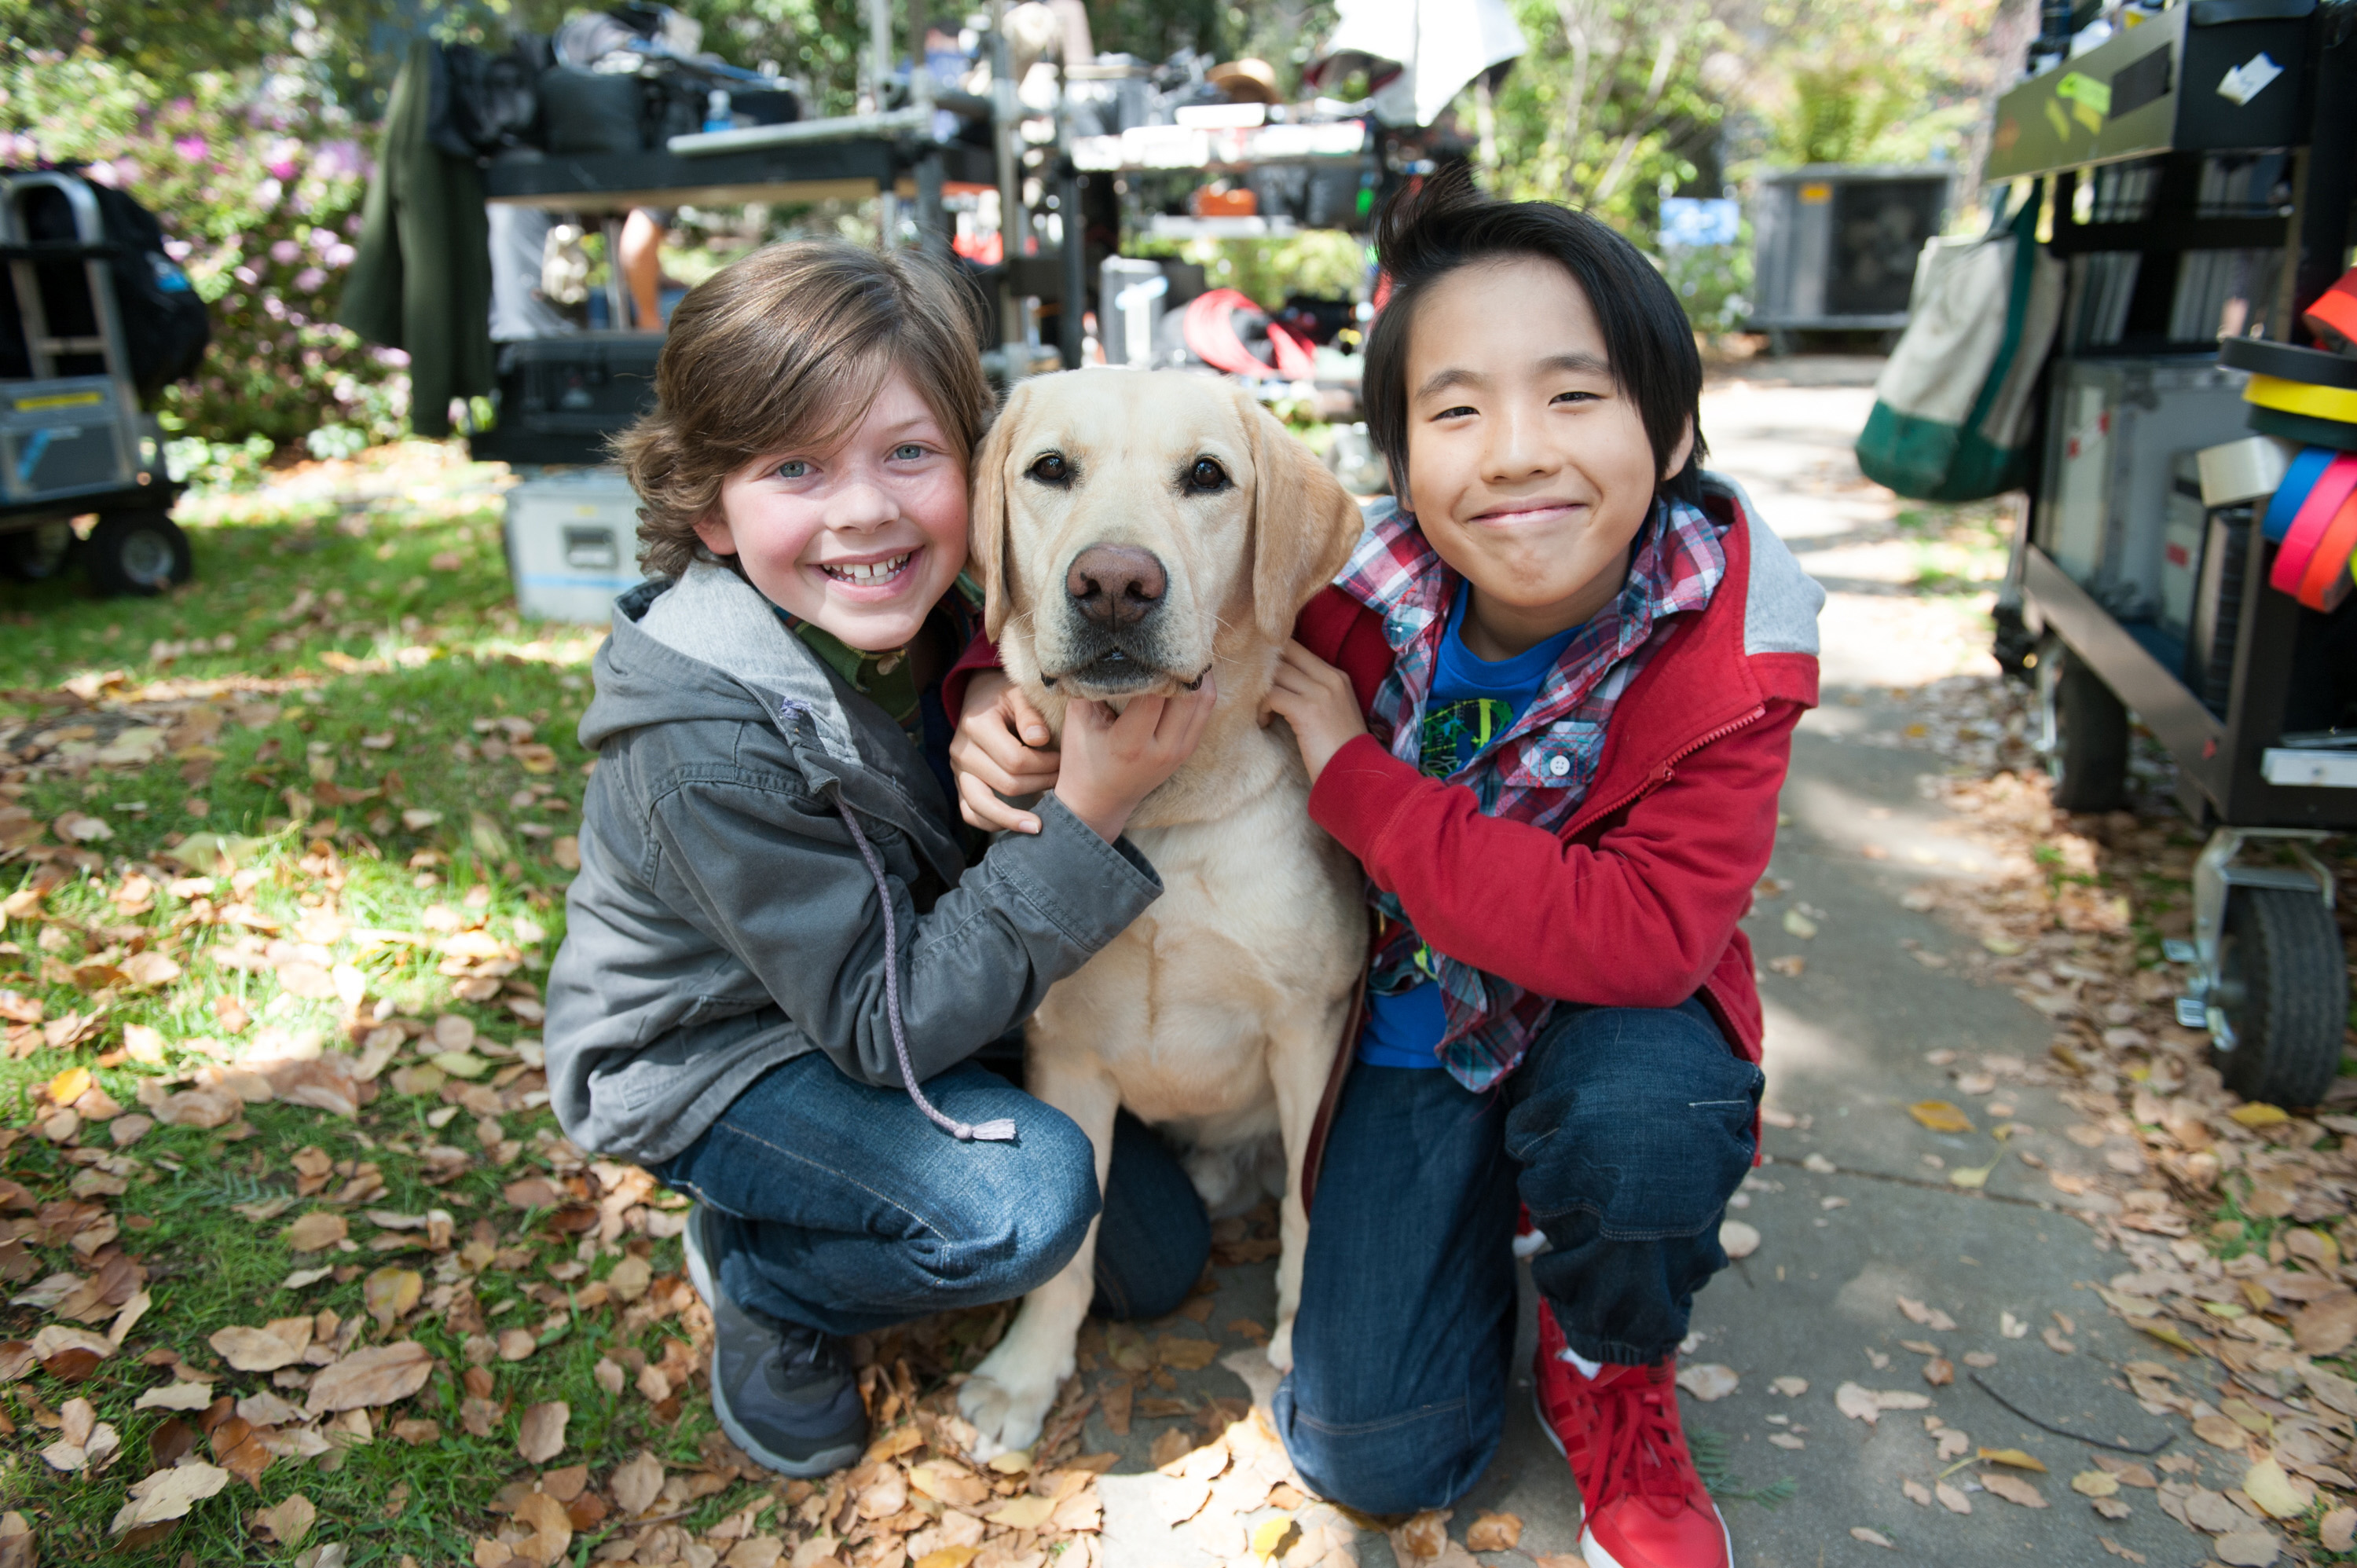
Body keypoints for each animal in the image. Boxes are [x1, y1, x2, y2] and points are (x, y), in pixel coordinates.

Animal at [952, 370, 1367, 1452]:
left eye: (1207, 476)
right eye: (1052, 467)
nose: (1113, 583)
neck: (1158, 818)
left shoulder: (1310, 1029)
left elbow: (1308, 1205)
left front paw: (1301, 1334)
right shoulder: (1066, 1053)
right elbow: (1071, 1248)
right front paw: (1026, 1372)